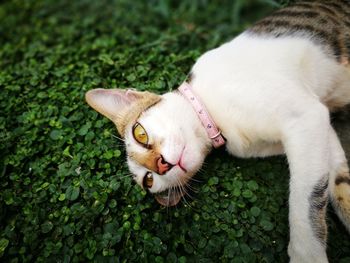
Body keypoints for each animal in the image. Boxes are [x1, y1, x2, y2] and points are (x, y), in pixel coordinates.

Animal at [85, 1, 350, 262]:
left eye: (140, 134)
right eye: (149, 181)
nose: (161, 165)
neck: (216, 120)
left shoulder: (306, 116)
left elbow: (305, 201)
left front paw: (307, 253)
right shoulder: (315, 122)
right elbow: (336, 177)